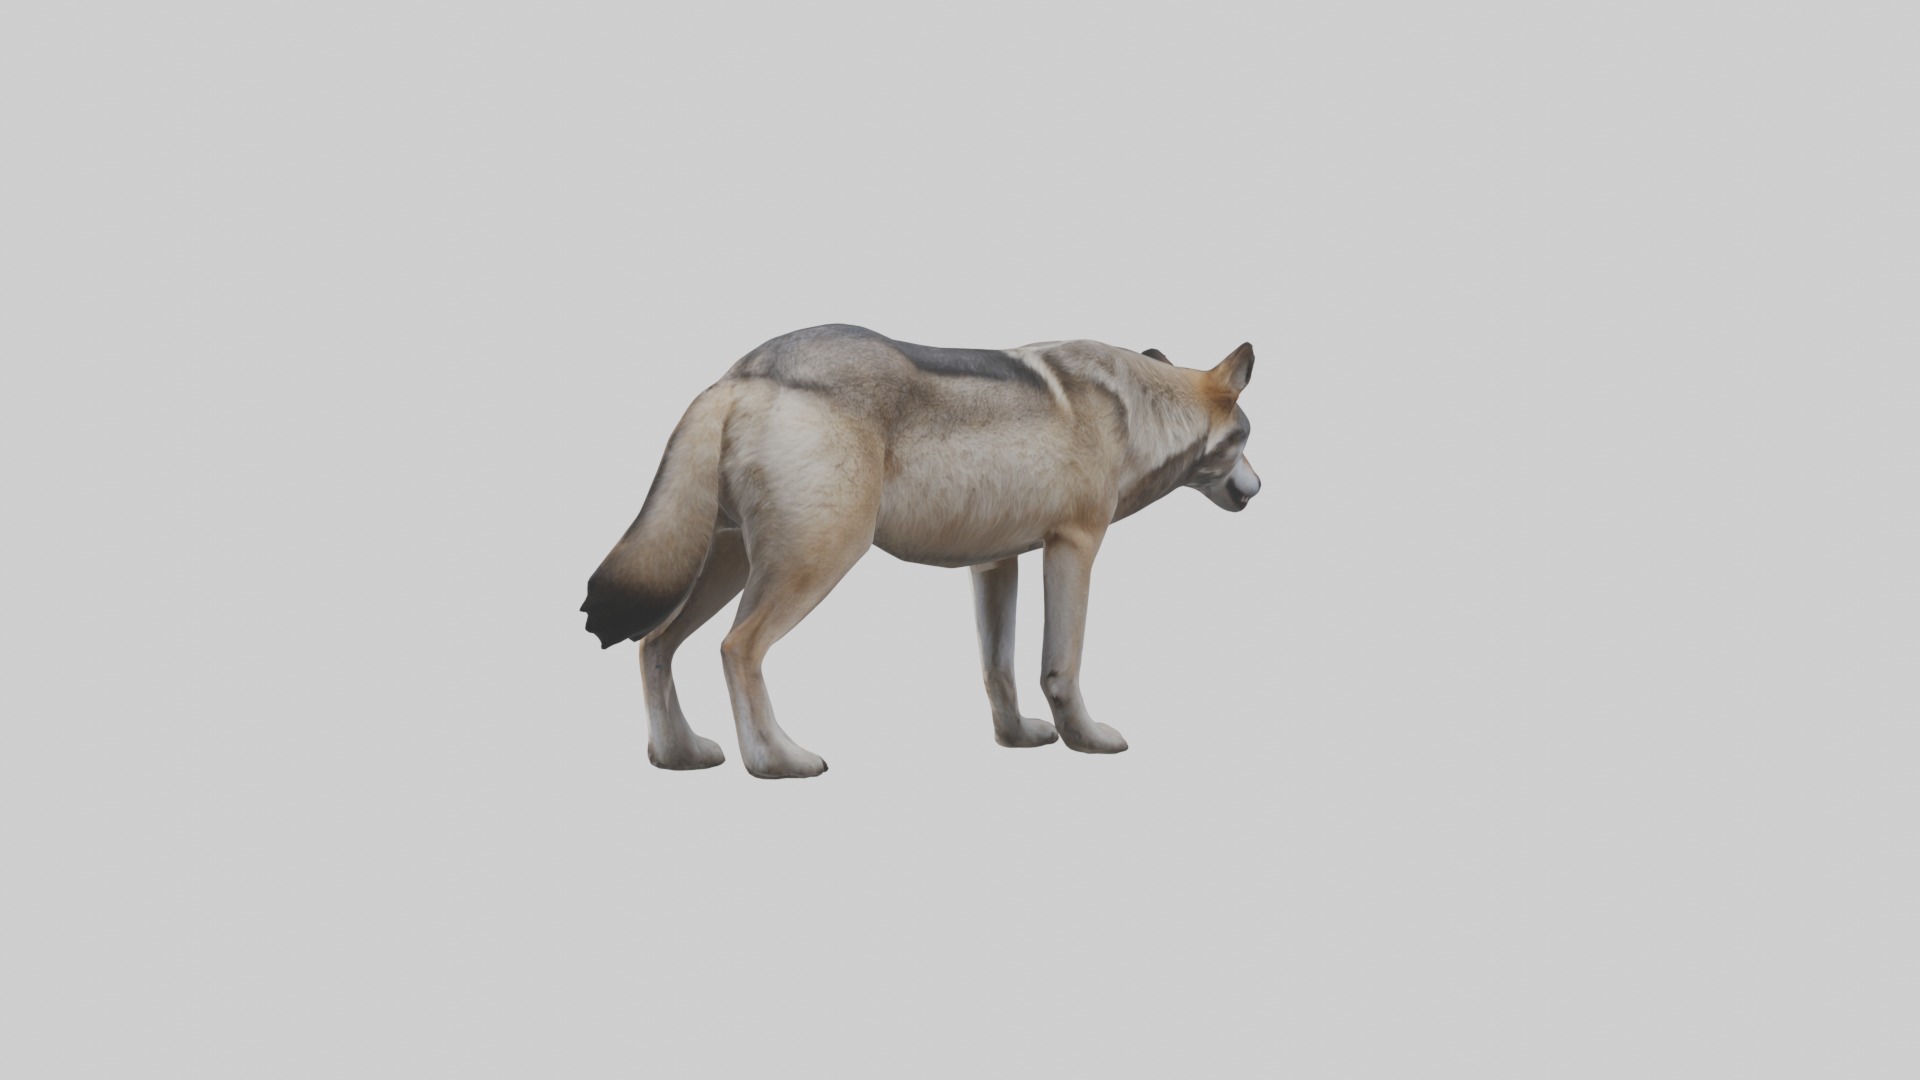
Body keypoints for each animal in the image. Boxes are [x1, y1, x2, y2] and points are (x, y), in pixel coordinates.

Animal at [581, 324, 1260, 778]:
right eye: (1246, 438)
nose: (1258, 489)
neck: (1136, 412)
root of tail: (741, 374)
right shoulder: (1075, 546)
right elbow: (1060, 666)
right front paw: (1087, 741)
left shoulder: (997, 562)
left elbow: (998, 670)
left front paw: (1016, 740)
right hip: (816, 562)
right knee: (735, 648)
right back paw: (776, 759)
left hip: (724, 566)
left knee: (653, 645)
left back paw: (678, 755)